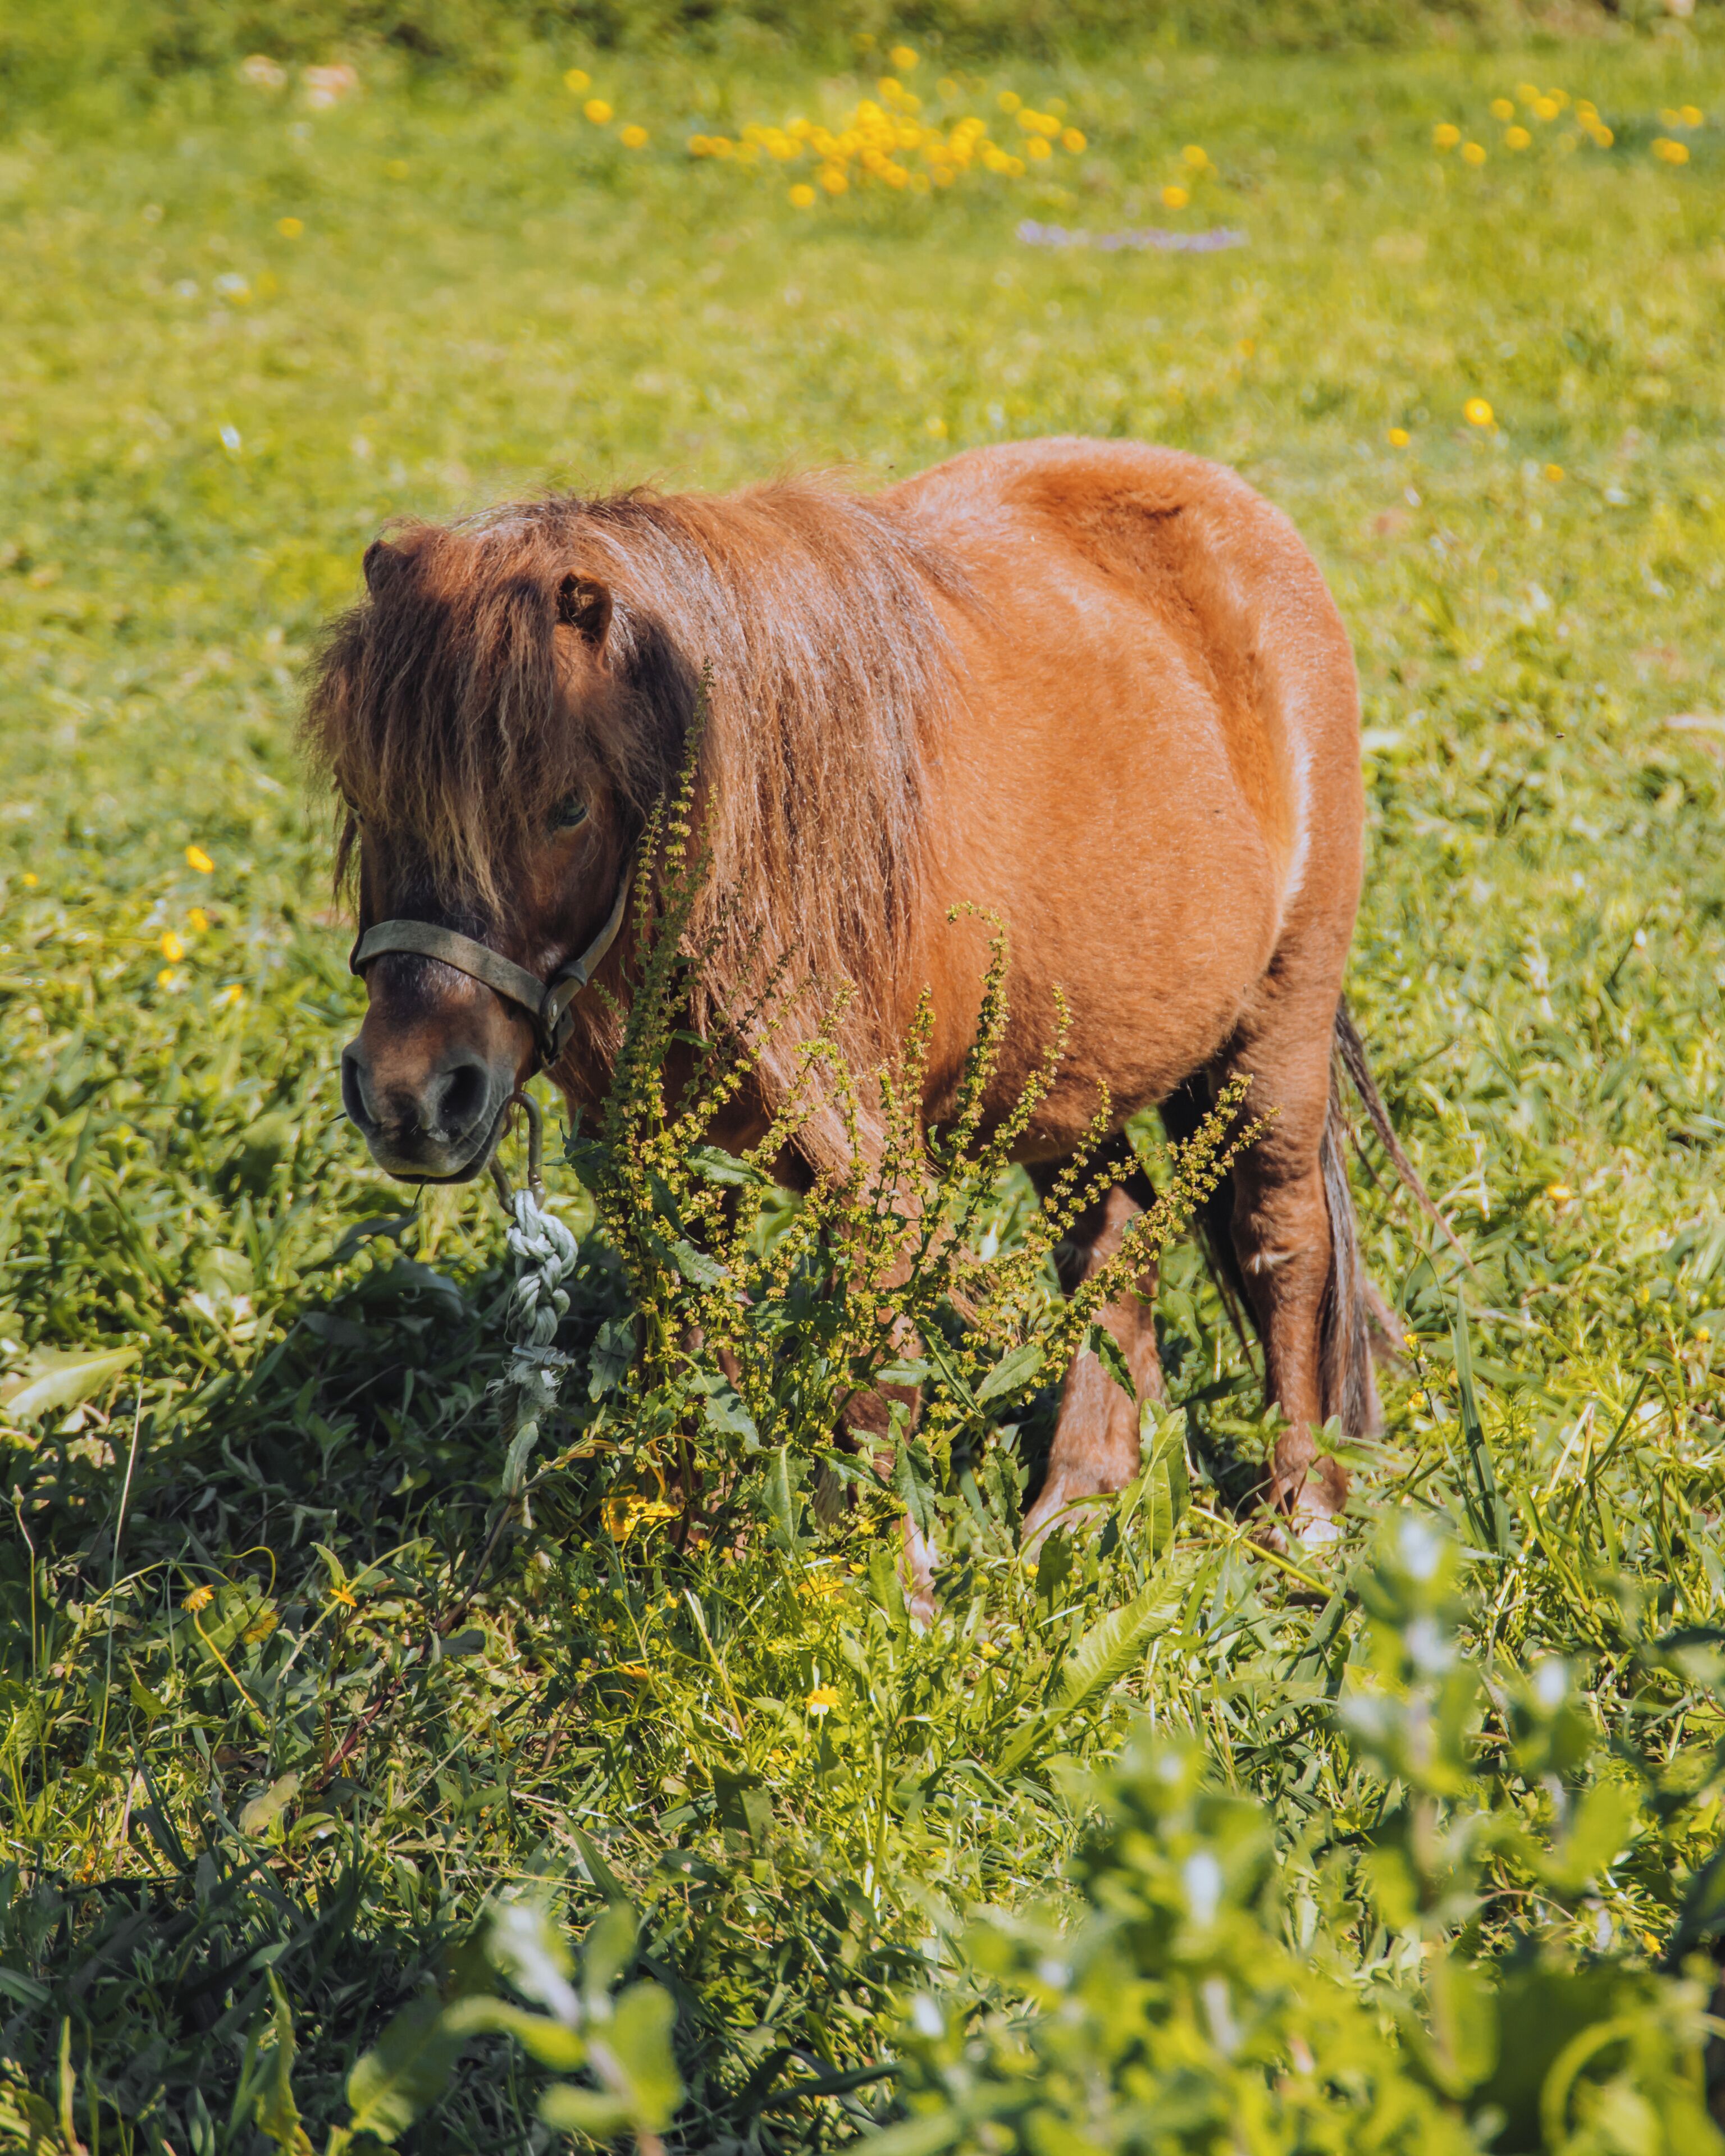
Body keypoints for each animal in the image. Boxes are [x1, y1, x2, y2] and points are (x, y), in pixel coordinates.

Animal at [307, 436, 1428, 1545]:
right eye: (365, 794)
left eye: (567, 807)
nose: (410, 1095)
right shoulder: (674, 1171)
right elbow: (696, 1360)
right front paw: (704, 1547)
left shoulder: (870, 1166)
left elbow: (872, 1386)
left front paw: (886, 1577)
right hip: (1069, 1076)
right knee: (1114, 1241)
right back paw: (1084, 1500)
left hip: (1278, 1033)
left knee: (1285, 1243)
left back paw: (1304, 1511)